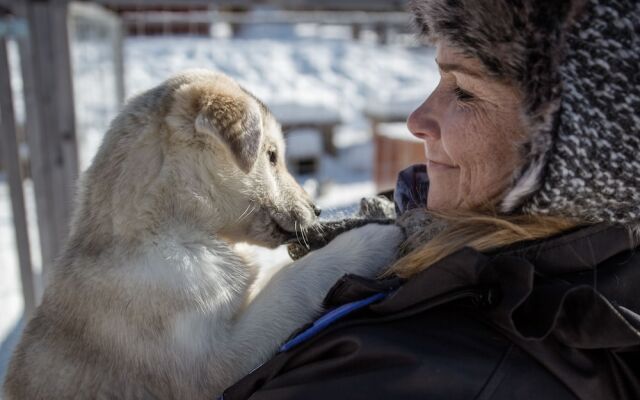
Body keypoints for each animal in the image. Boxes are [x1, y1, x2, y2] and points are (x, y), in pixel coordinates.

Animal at [5, 70, 402, 398]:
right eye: (271, 156)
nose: (316, 209)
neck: (174, 230)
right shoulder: (213, 362)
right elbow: (292, 285)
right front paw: (370, 239)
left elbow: (278, 276)